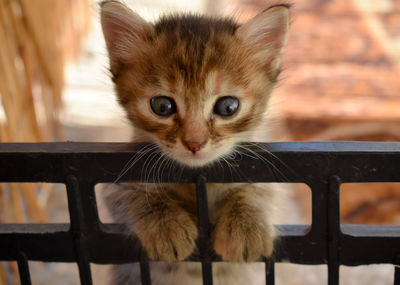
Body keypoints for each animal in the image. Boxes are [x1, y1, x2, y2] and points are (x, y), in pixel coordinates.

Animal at [99, 1, 288, 282]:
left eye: (228, 107)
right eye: (162, 106)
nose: (194, 143)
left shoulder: (263, 172)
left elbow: (259, 191)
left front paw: (246, 226)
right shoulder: (114, 182)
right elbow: (130, 193)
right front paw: (167, 226)